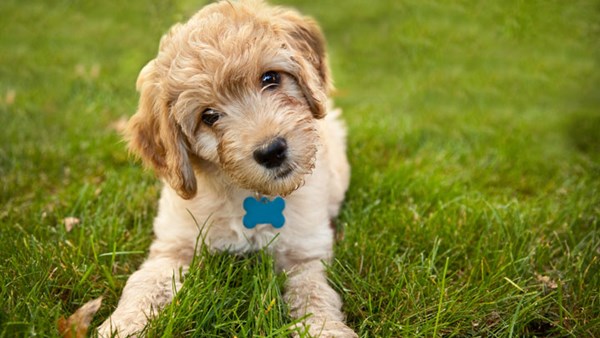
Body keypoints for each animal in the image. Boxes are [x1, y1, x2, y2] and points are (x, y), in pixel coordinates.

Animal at [96, 1, 354, 336]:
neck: (249, 193)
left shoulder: (305, 253)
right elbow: (144, 282)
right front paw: (123, 323)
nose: (271, 151)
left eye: (270, 78)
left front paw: (325, 328)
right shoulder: (174, 245)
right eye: (208, 116)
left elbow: (314, 294)